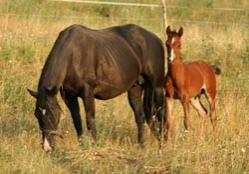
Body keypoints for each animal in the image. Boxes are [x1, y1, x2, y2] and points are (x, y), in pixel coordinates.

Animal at [27, 23, 165, 152]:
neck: (73, 55)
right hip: (135, 88)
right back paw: (141, 146)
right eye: (37, 114)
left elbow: (90, 120)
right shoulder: (69, 96)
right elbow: (77, 120)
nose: (47, 147)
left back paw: (161, 146)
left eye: (53, 114)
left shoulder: (88, 93)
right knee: (140, 116)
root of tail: (156, 39)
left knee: (160, 114)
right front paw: (82, 146)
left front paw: (95, 147)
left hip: (157, 87)